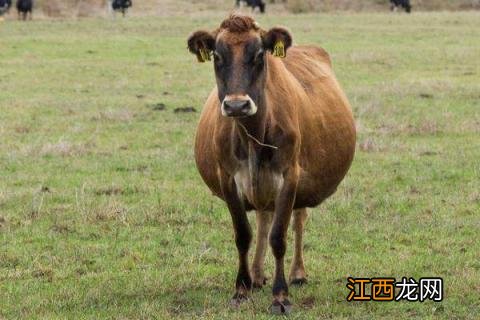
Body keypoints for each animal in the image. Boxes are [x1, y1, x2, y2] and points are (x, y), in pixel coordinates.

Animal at [188, 15, 356, 316]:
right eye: (217, 56)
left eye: (258, 55)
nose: (237, 105)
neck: (252, 135)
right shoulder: (228, 179)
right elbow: (243, 234)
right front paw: (241, 289)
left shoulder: (289, 177)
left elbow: (279, 237)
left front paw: (280, 296)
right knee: (263, 218)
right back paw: (256, 276)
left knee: (298, 219)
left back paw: (298, 273)